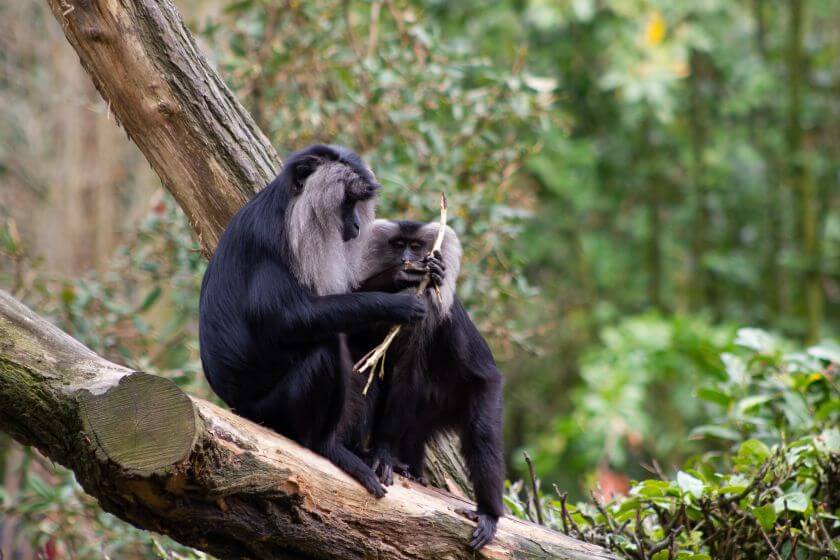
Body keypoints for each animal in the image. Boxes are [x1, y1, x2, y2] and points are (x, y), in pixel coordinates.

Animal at [199, 147, 426, 496]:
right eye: (346, 201)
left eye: (357, 203)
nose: (356, 225)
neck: (289, 209)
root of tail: (240, 408)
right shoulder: (273, 242)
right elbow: (285, 322)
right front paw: (395, 305)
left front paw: (400, 277)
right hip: (274, 411)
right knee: (325, 348)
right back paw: (327, 447)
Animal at [350, 220, 506, 552]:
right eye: (398, 245)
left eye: (417, 246)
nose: (408, 260)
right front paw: (395, 277)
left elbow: (406, 375)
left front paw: (383, 453)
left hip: (481, 389)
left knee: (482, 433)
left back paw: (489, 513)